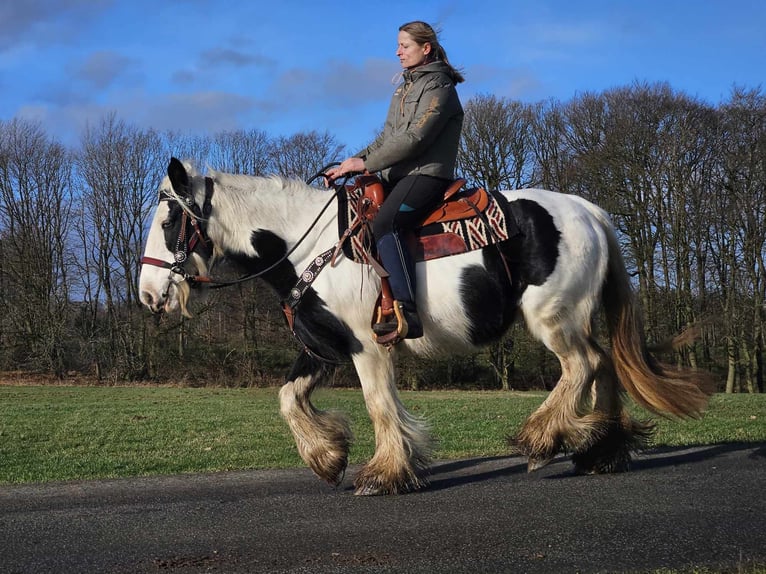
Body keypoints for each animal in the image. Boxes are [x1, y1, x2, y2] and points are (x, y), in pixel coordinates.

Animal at [140, 158, 712, 496]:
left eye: (168, 222)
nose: (147, 294)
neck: (309, 245)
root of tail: (590, 212)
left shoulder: (368, 347)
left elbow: (379, 405)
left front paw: (385, 472)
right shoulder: (325, 346)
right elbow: (287, 397)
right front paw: (328, 457)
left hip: (554, 317)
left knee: (584, 365)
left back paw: (540, 440)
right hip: (577, 316)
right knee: (605, 366)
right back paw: (600, 452)